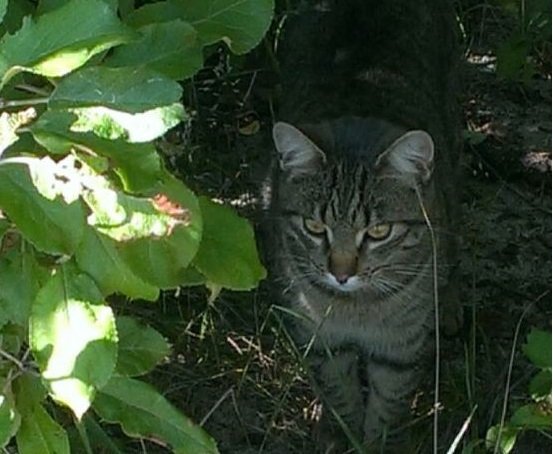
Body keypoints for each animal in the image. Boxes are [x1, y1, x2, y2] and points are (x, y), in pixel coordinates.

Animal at [265, 0, 462, 451]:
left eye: (378, 232)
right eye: (314, 226)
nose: (340, 274)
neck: (357, 309)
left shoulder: (401, 347)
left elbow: (388, 403)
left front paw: (374, 442)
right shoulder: (321, 340)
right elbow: (340, 392)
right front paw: (342, 432)